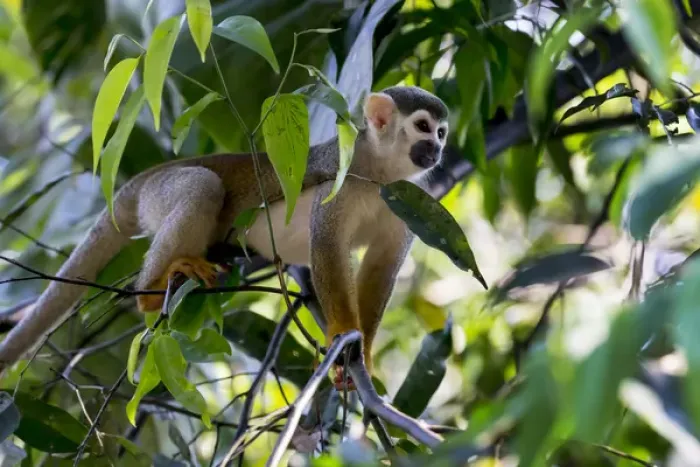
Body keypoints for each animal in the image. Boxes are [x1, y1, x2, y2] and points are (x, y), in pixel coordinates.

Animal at [0, 86, 449, 388]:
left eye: (441, 132)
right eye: (422, 127)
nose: (437, 150)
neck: (379, 174)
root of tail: (141, 181)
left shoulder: (409, 199)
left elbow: (381, 266)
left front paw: (364, 357)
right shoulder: (339, 177)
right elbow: (327, 245)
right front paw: (342, 336)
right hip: (160, 193)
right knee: (203, 186)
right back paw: (151, 292)